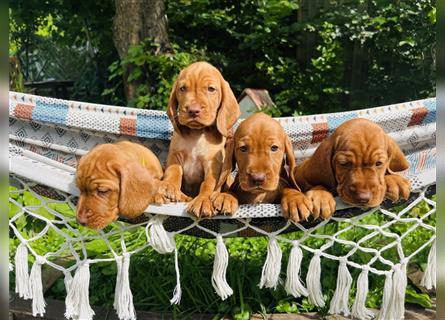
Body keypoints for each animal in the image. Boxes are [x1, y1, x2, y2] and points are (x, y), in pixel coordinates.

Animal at [155, 60, 241, 218]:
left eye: (211, 89)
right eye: (182, 88)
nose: (193, 110)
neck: (197, 134)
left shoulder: (212, 164)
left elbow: (208, 184)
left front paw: (202, 200)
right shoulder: (175, 155)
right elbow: (174, 172)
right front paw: (169, 186)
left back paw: (225, 199)